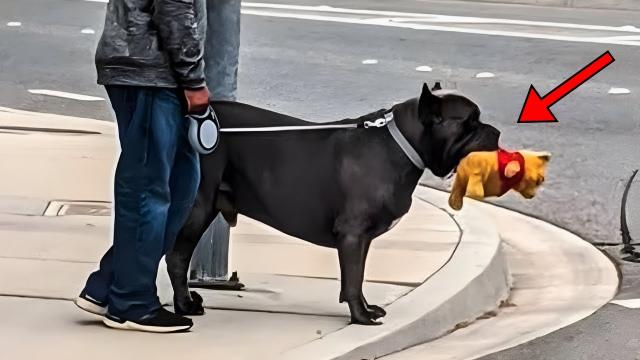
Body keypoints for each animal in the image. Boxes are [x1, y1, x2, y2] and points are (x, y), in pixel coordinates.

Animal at [168, 84, 502, 326]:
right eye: (470, 121)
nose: (496, 131)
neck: (401, 144)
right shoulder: (353, 234)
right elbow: (353, 279)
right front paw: (361, 317)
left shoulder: (361, 239)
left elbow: (358, 275)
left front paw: (366, 308)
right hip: (197, 208)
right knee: (176, 258)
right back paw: (185, 305)